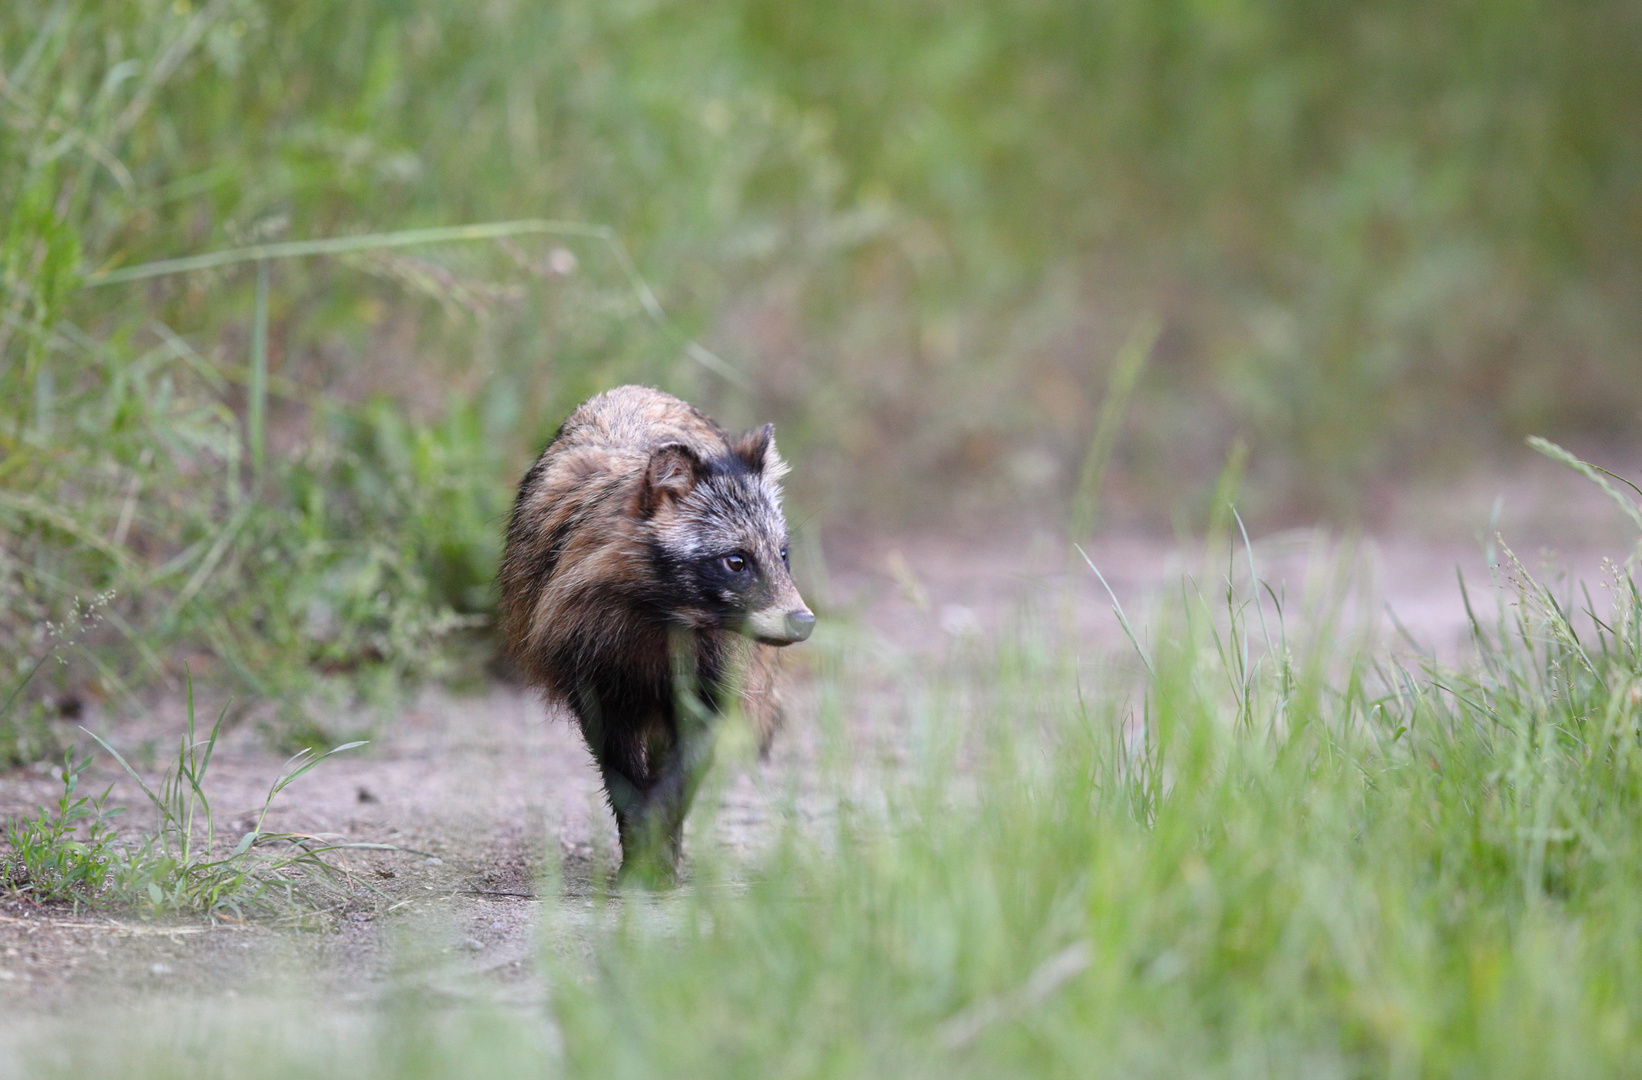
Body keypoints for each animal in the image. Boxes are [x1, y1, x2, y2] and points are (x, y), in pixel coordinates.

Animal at [495, 382, 811, 879]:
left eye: (781, 555)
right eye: (736, 561)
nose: (803, 620)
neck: (667, 616)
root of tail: (636, 390)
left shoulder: (715, 677)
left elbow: (683, 773)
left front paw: (659, 838)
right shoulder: (594, 670)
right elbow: (622, 774)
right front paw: (640, 845)